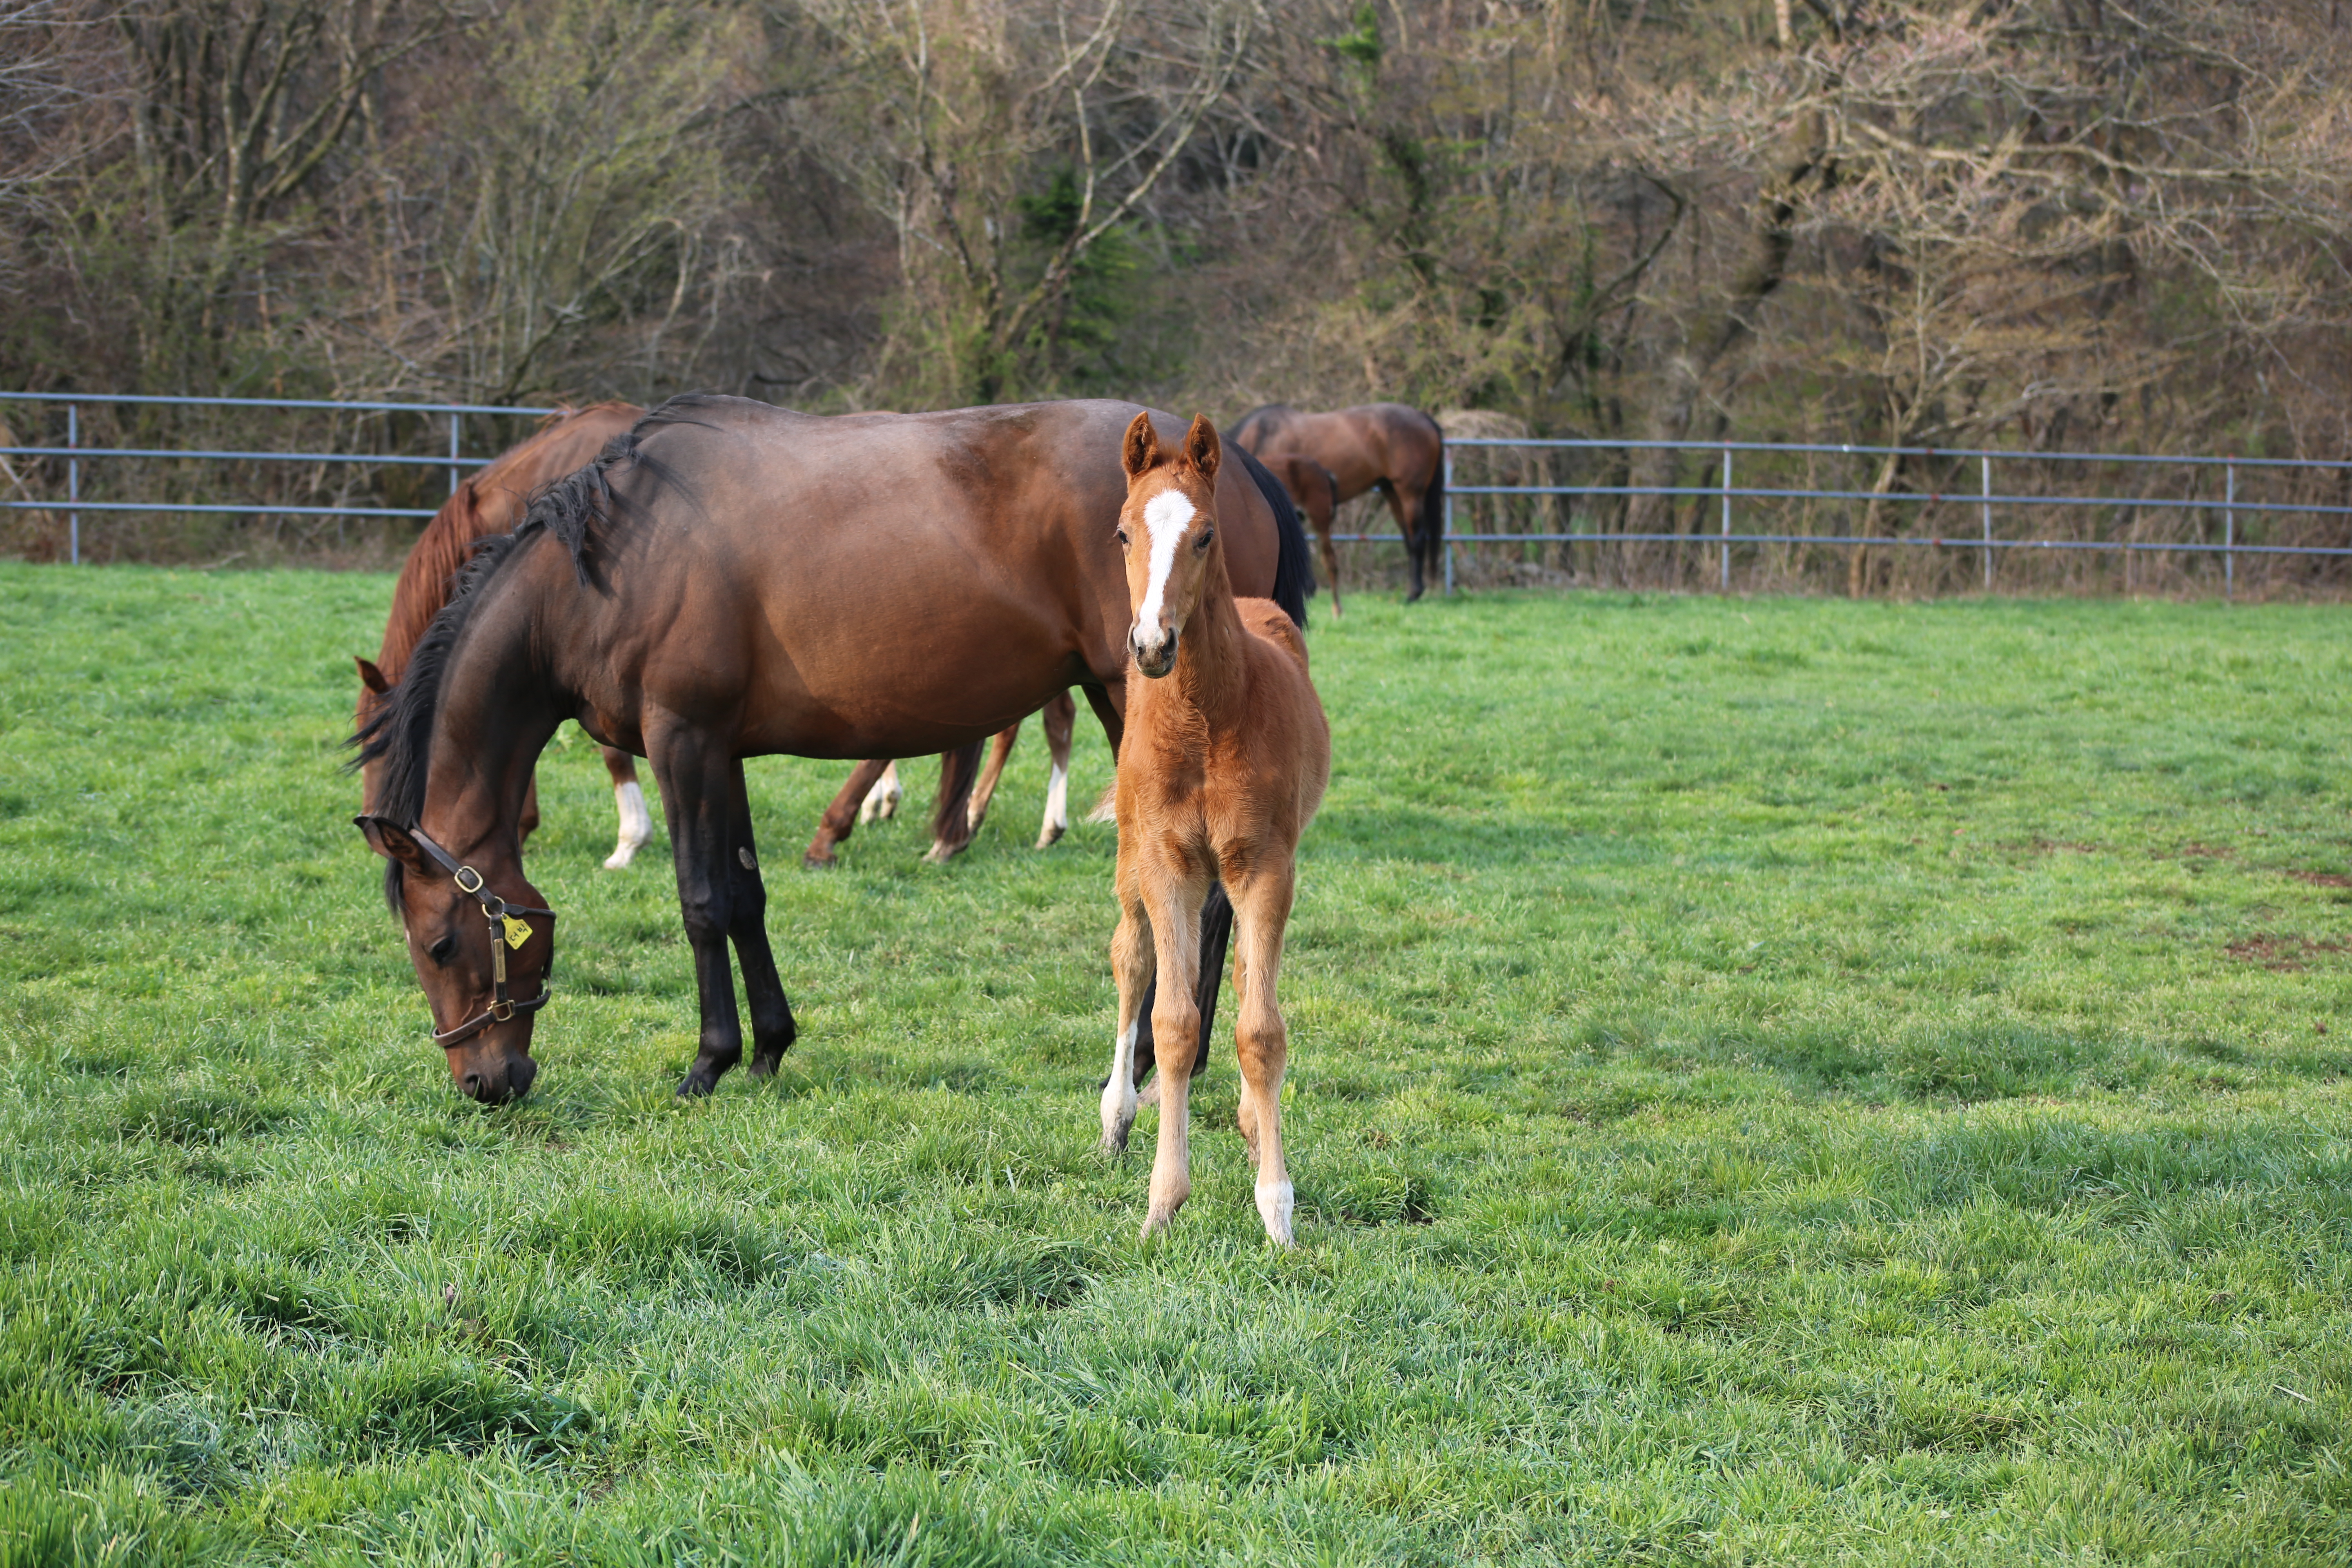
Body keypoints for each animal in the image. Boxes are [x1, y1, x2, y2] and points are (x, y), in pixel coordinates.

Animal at [343, 399, 1326, 1105]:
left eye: (438, 944)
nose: (484, 1084)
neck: (612, 561)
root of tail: (1233, 464)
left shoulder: (680, 740)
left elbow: (700, 901)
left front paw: (708, 1062)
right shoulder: (722, 753)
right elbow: (745, 895)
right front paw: (769, 1048)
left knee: (1196, 900)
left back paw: (1167, 1065)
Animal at [1096, 411, 1336, 1241]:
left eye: (1204, 535)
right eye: (1123, 531)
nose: (1152, 644)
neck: (1204, 721)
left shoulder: (1265, 865)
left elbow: (1260, 1029)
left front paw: (1278, 1209)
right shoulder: (1168, 864)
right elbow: (1172, 1022)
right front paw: (1163, 1204)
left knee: (1239, 975)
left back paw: (1248, 1121)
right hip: (1131, 854)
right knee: (1131, 955)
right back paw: (1115, 1115)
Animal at [1232, 402, 1449, 611]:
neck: (1262, 436)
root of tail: (1424, 418)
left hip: (1410, 492)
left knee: (1417, 538)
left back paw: (1414, 593)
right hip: (1391, 490)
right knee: (1408, 538)